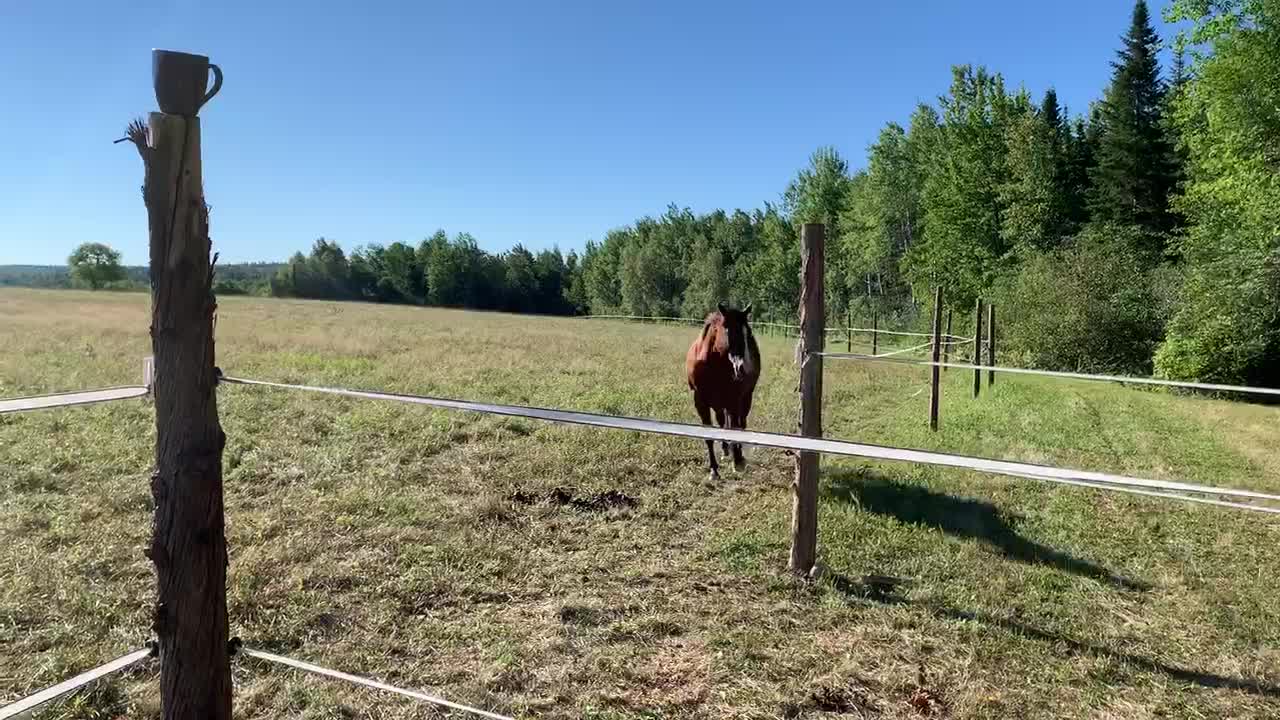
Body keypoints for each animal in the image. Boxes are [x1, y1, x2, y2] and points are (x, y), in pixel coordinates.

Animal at [691, 301, 757, 476]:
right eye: (728, 330)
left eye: (748, 333)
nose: (743, 368)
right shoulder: (700, 401)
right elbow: (709, 435)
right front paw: (713, 470)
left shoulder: (733, 399)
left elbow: (735, 428)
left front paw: (738, 461)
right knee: (723, 421)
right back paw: (726, 449)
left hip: (745, 398)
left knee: (741, 423)